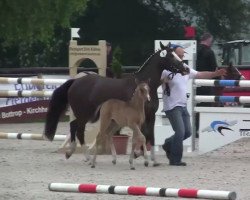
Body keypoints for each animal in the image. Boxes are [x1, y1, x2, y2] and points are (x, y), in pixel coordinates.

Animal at [44, 42, 189, 166]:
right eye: (171, 56)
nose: (186, 69)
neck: (143, 86)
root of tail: (75, 81)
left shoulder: (150, 115)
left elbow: (150, 136)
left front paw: (152, 159)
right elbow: (142, 135)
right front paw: (139, 155)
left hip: (83, 114)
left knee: (73, 127)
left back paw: (71, 152)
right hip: (84, 114)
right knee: (78, 130)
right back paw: (86, 157)